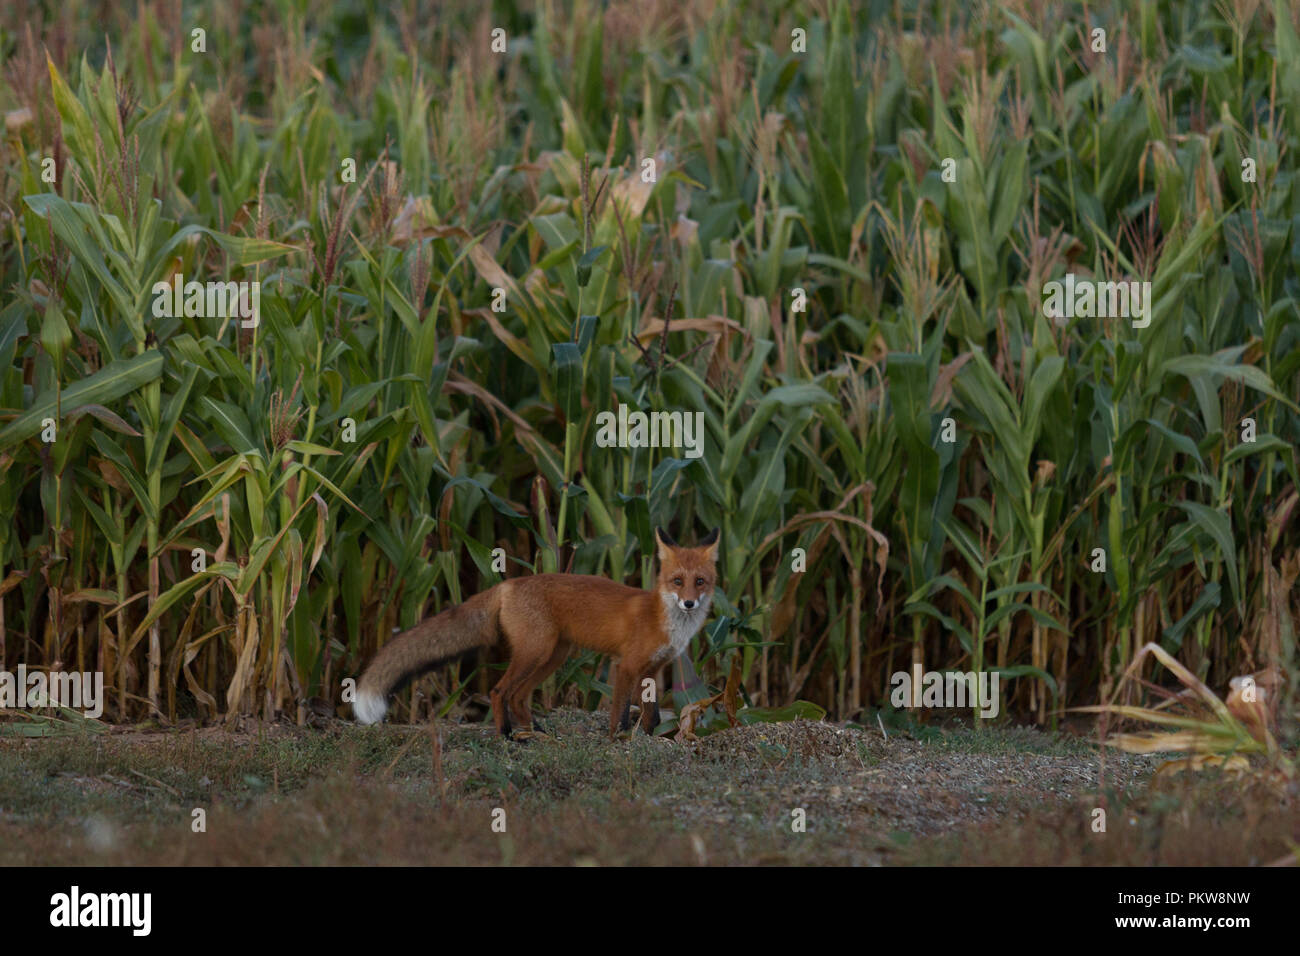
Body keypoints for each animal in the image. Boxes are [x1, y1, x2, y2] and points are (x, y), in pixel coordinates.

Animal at [356, 528, 722, 738]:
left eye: (700, 581)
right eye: (677, 581)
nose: (689, 602)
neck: (663, 618)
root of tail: (509, 584)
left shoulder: (654, 669)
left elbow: (652, 713)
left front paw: (652, 738)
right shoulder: (626, 665)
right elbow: (619, 711)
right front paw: (616, 740)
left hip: (552, 656)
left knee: (518, 695)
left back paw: (535, 731)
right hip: (536, 652)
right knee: (499, 691)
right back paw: (506, 734)